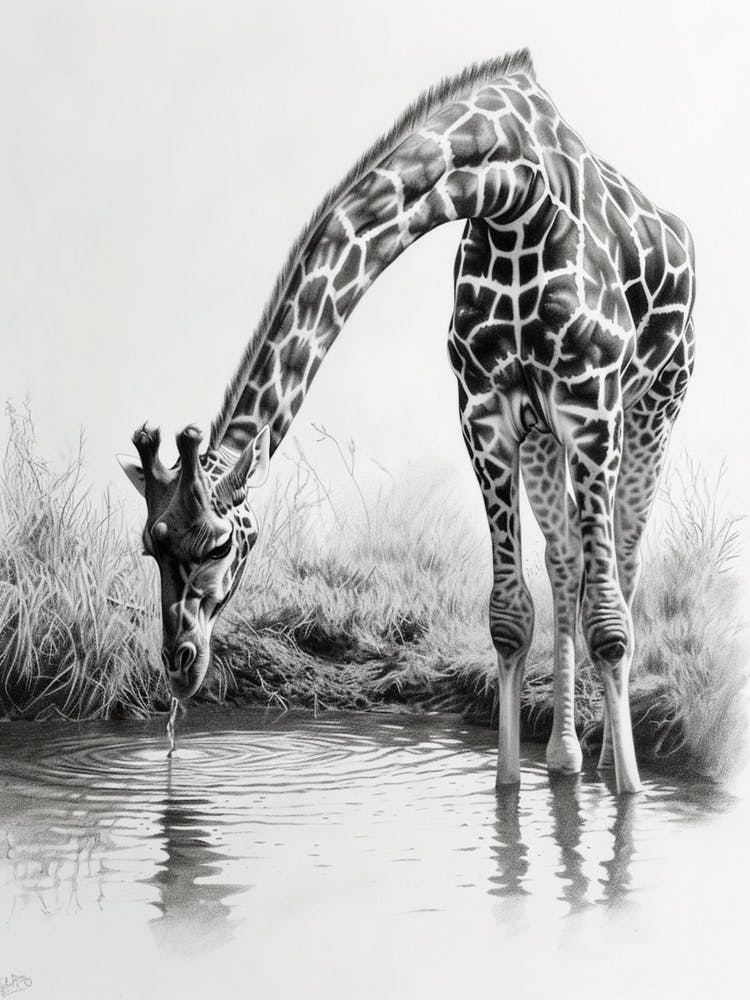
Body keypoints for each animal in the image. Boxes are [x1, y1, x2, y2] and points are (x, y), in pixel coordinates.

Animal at [118, 49, 695, 795]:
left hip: (654, 408)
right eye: (148, 547)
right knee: (566, 560)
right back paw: (567, 759)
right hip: (546, 438)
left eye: (218, 546)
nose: (179, 665)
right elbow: (509, 617)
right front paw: (511, 788)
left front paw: (628, 797)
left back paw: (602, 764)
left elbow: (610, 622)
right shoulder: (484, 411)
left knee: (621, 562)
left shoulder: (590, 401)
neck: (513, 202)